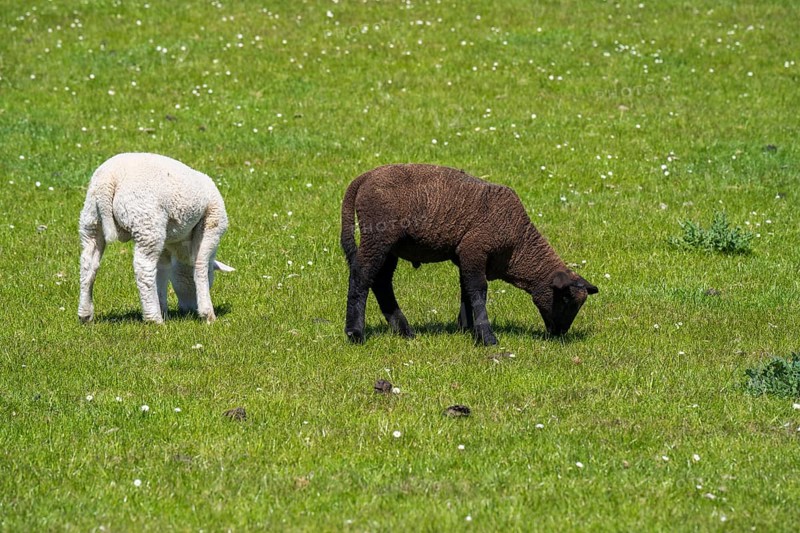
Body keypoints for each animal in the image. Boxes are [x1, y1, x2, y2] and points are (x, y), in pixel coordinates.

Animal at [78, 153, 233, 324]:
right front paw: (208, 314)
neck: (181, 248)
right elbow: (200, 265)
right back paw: (154, 318)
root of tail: (109, 179)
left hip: (91, 219)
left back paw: (85, 314)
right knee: (144, 267)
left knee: (88, 262)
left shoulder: (166, 241)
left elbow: (162, 271)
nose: (189, 311)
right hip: (147, 221)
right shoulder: (212, 223)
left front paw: (163, 307)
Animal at [340, 164, 598, 345]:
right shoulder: (474, 249)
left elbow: (466, 288)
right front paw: (486, 337)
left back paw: (404, 331)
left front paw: (466, 327)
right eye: (565, 298)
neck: (519, 244)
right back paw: (355, 334)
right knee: (361, 276)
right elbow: (478, 290)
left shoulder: (465, 255)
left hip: (391, 245)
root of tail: (363, 178)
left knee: (381, 282)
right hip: (379, 235)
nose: (560, 334)